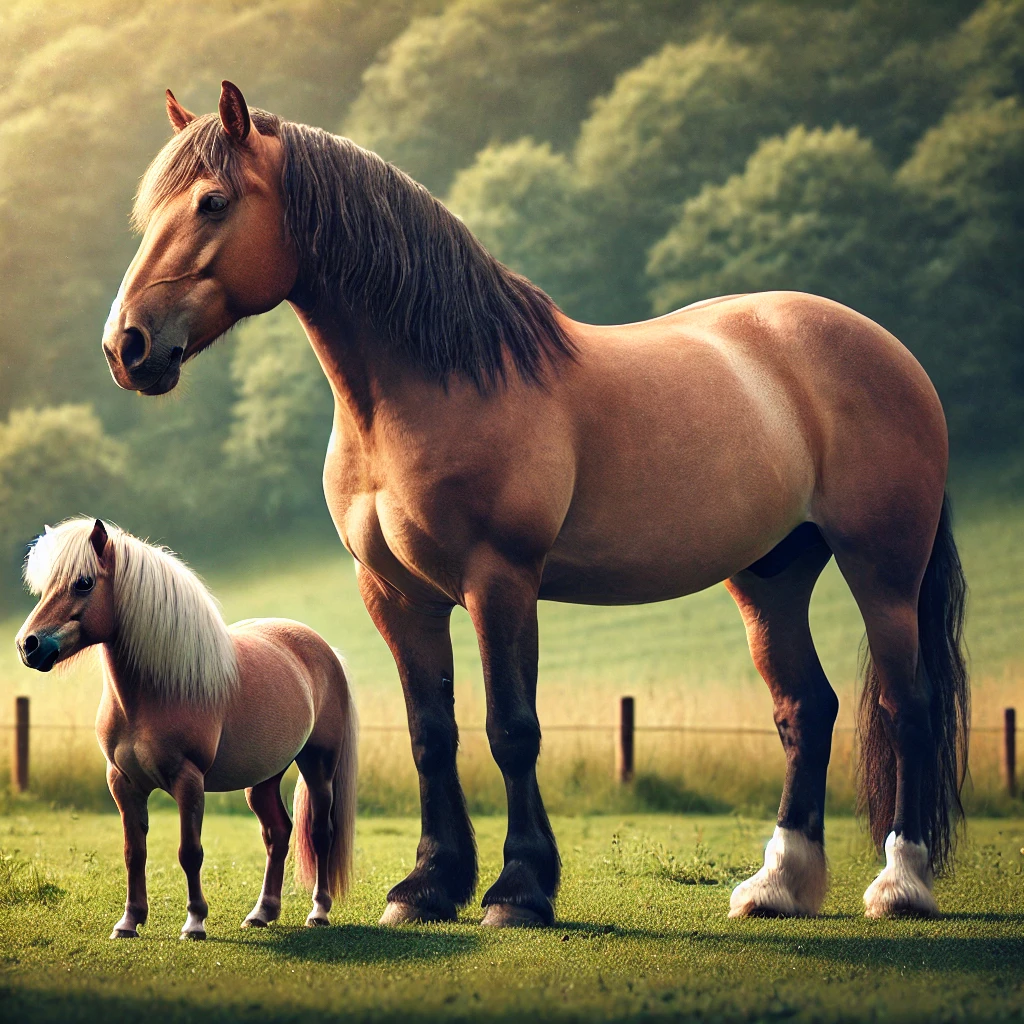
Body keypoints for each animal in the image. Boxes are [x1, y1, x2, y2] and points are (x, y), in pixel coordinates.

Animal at [15, 517, 358, 939]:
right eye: (46, 586)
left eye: (83, 582)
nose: (28, 645)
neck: (153, 694)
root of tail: (325, 650)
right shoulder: (122, 782)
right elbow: (134, 852)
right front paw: (129, 921)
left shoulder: (188, 780)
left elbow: (189, 852)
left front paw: (194, 921)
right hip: (263, 778)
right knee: (277, 833)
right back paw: (262, 912)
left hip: (318, 767)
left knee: (321, 833)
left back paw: (319, 911)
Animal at [100, 81, 968, 926]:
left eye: (213, 202)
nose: (127, 346)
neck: (436, 384)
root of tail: (888, 349)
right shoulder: (397, 596)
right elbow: (430, 735)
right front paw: (428, 885)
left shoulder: (502, 581)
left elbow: (511, 731)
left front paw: (518, 889)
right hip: (771, 576)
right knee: (805, 710)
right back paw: (779, 886)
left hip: (883, 571)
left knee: (907, 705)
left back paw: (900, 884)